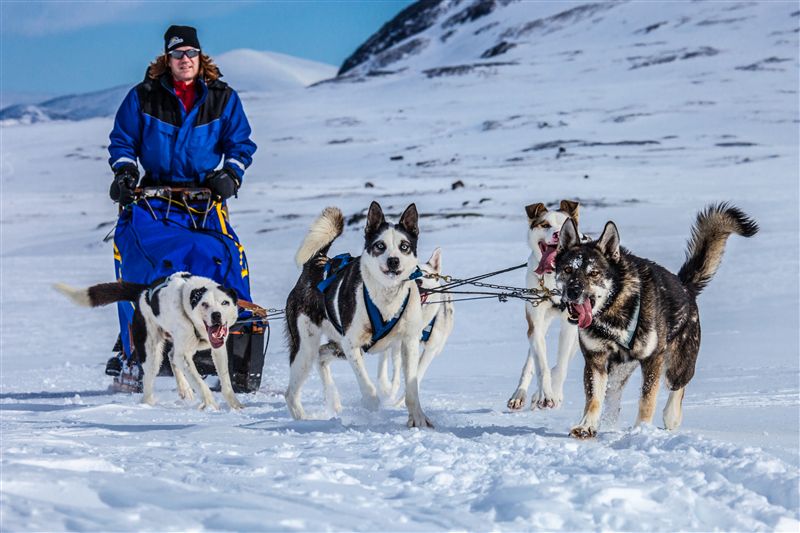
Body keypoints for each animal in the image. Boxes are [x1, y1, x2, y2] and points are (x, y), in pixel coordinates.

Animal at [54, 272, 241, 410]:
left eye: (225, 303)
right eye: (204, 304)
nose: (216, 315)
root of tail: (144, 291)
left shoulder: (218, 349)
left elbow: (226, 381)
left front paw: (235, 406)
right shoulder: (184, 355)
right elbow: (201, 383)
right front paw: (211, 406)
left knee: (172, 356)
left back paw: (184, 389)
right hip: (151, 353)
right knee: (151, 379)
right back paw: (149, 405)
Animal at [284, 202, 434, 426]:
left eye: (404, 246)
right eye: (380, 245)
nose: (393, 261)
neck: (386, 297)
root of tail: (317, 262)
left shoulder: (409, 342)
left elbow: (411, 388)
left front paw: (418, 419)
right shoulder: (352, 345)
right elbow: (367, 385)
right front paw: (372, 407)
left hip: (335, 347)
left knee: (321, 356)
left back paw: (333, 399)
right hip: (306, 348)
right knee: (291, 392)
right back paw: (304, 420)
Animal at [510, 200, 584, 412]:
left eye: (565, 224)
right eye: (545, 225)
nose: (558, 234)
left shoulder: (571, 325)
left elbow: (561, 364)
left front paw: (554, 395)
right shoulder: (535, 322)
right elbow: (541, 365)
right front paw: (546, 395)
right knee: (531, 359)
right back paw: (520, 394)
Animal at [556, 203, 756, 436]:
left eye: (594, 273)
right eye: (568, 269)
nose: (573, 291)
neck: (614, 310)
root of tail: (685, 286)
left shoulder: (653, 360)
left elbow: (647, 399)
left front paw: (642, 429)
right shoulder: (595, 359)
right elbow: (594, 398)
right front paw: (587, 425)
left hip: (676, 367)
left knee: (677, 387)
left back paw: (671, 416)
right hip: (618, 371)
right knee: (612, 396)